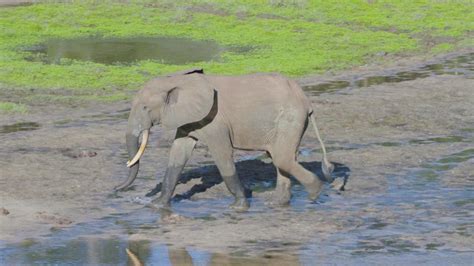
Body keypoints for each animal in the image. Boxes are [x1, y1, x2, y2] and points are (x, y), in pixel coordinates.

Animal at [115, 69, 334, 211]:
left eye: (145, 108)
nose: (116, 189)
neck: (177, 80)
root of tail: (306, 101)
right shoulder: (188, 119)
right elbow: (178, 154)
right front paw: (157, 206)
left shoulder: (215, 121)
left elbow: (222, 156)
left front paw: (238, 207)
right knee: (281, 159)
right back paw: (276, 204)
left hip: (290, 119)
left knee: (282, 159)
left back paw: (314, 194)